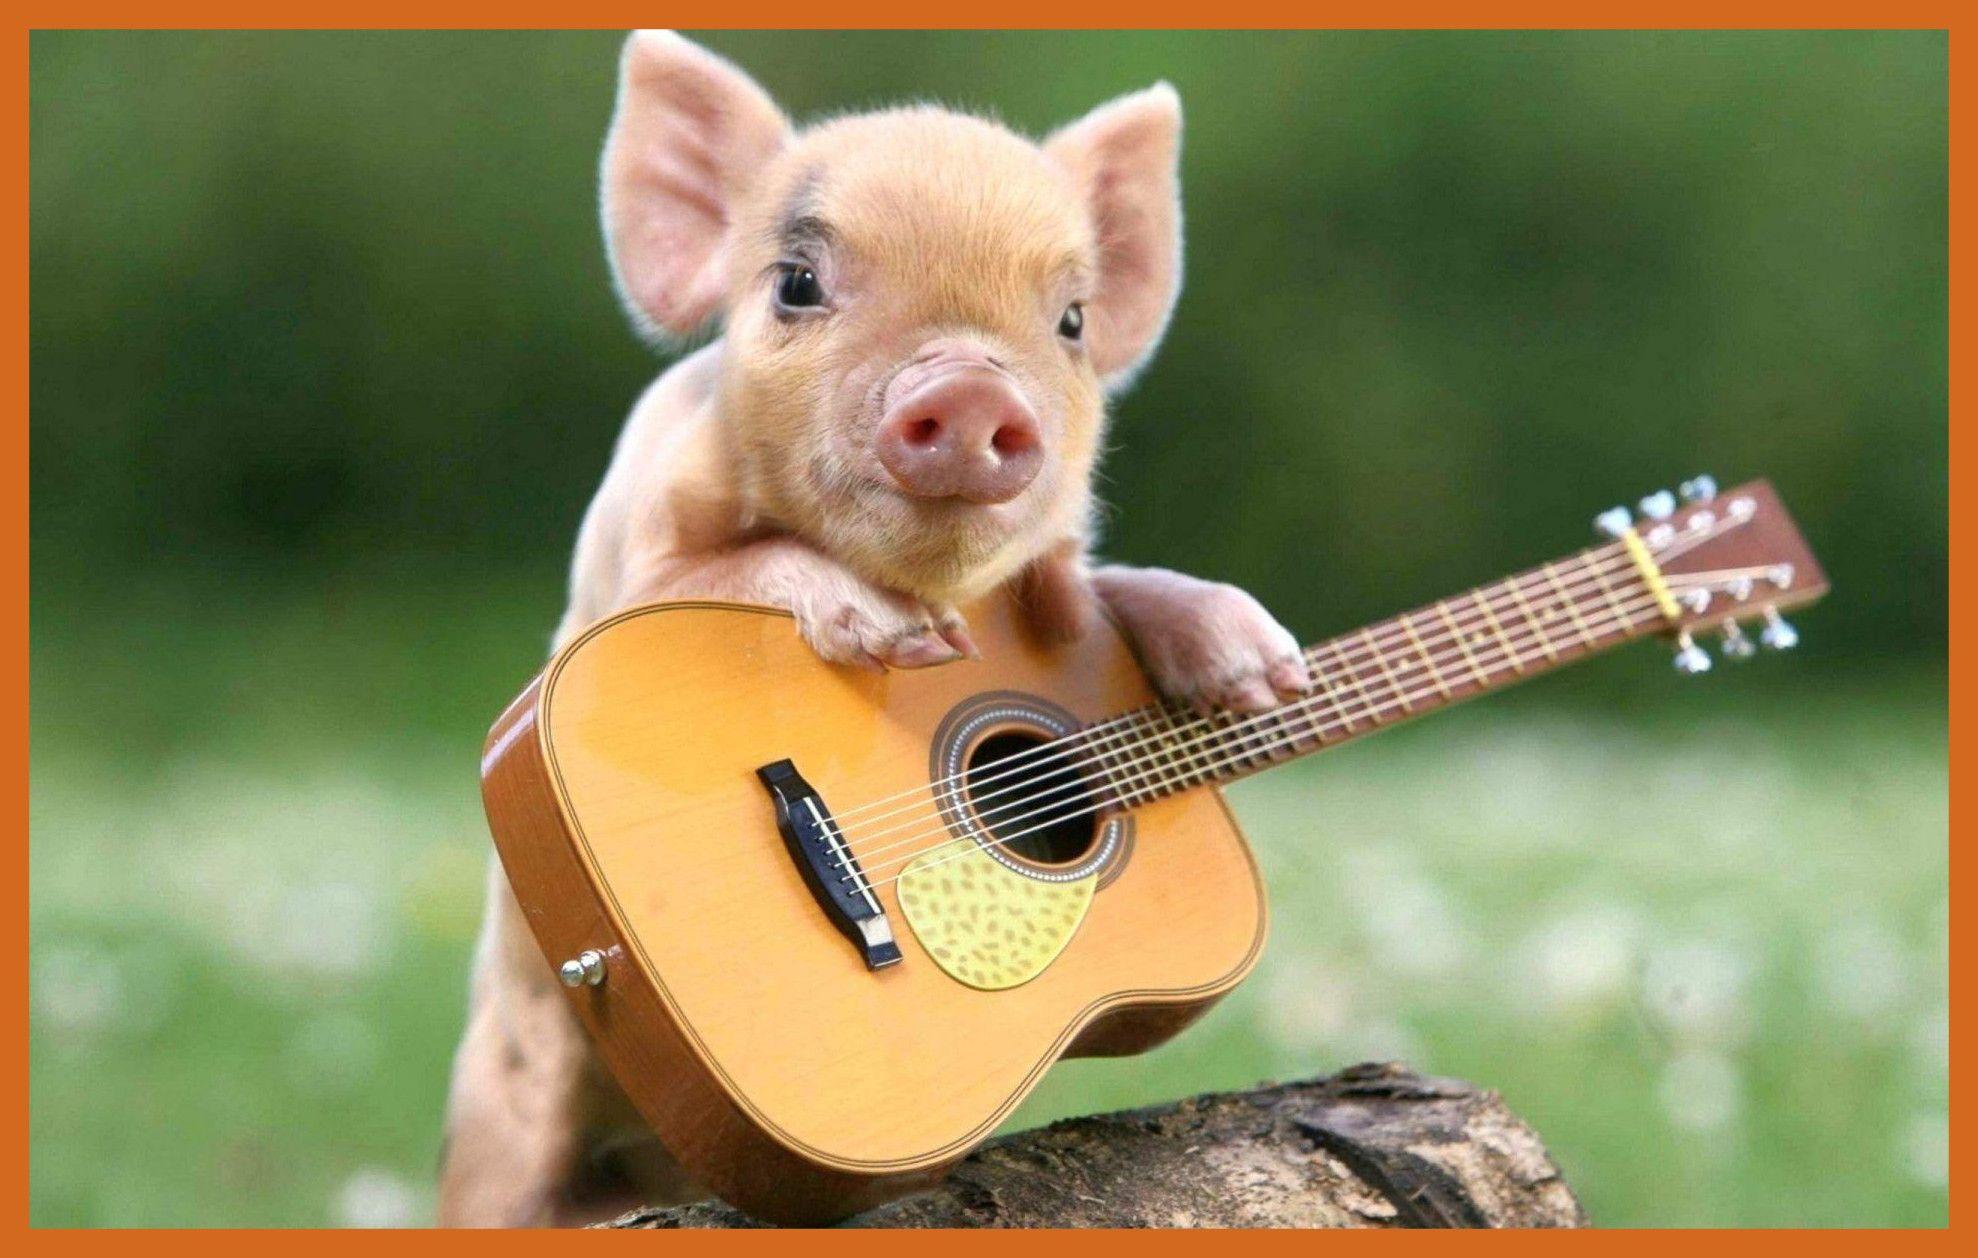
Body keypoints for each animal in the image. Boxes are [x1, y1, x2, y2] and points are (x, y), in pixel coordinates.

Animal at [437, 30, 1311, 1227]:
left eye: (1072, 322)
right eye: (797, 283)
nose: (974, 385)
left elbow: (1102, 586)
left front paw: (1263, 667)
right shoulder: (622, 575)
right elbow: (739, 569)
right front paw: (893, 632)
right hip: (499, 1122)